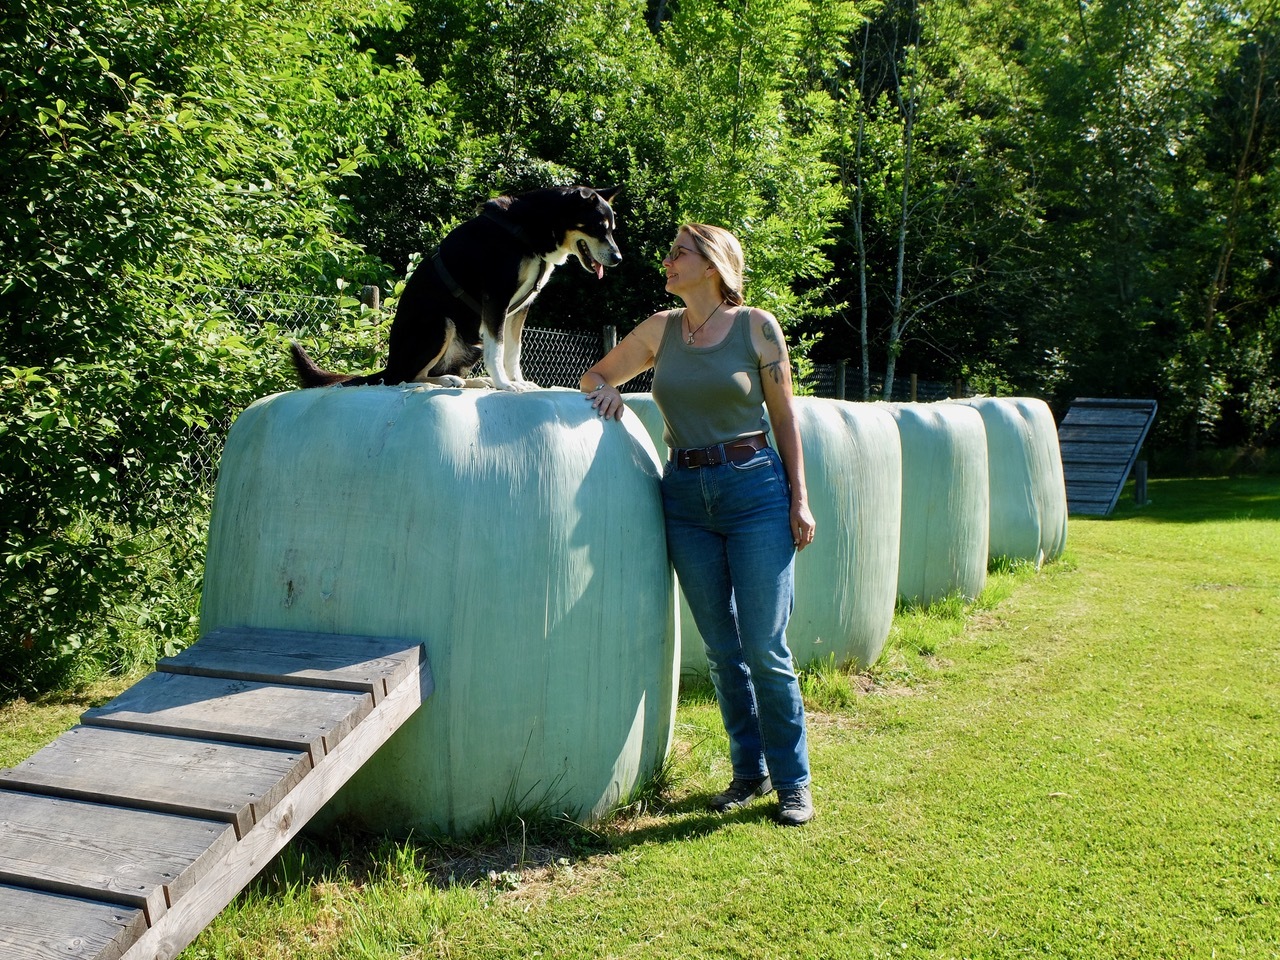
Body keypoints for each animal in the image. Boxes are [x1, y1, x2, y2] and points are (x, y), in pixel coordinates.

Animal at [290, 185, 622, 392]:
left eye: (612, 229)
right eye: (599, 228)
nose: (618, 258)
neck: (529, 230)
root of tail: (390, 363)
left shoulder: (521, 308)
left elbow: (512, 352)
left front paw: (516, 381)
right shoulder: (496, 300)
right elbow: (499, 349)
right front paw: (504, 384)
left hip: (469, 345)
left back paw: (472, 381)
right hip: (439, 324)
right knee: (402, 378)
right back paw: (442, 383)